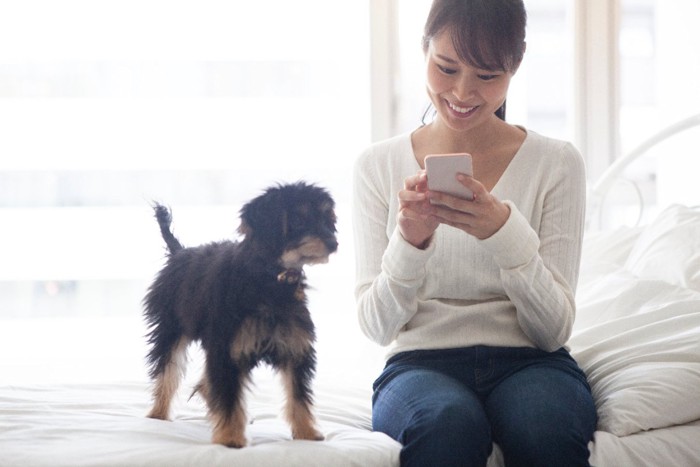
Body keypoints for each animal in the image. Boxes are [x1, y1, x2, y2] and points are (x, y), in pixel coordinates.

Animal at [142, 181, 336, 448]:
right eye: (298, 219)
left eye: (327, 218)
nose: (333, 243)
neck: (269, 277)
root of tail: (179, 253)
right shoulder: (228, 347)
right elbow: (230, 392)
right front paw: (230, 438)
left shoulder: (294, 346)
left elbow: (298, 393)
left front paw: (307, 432)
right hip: (171, 329)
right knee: (168, 370)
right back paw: (159, 412)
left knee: (205, 382)